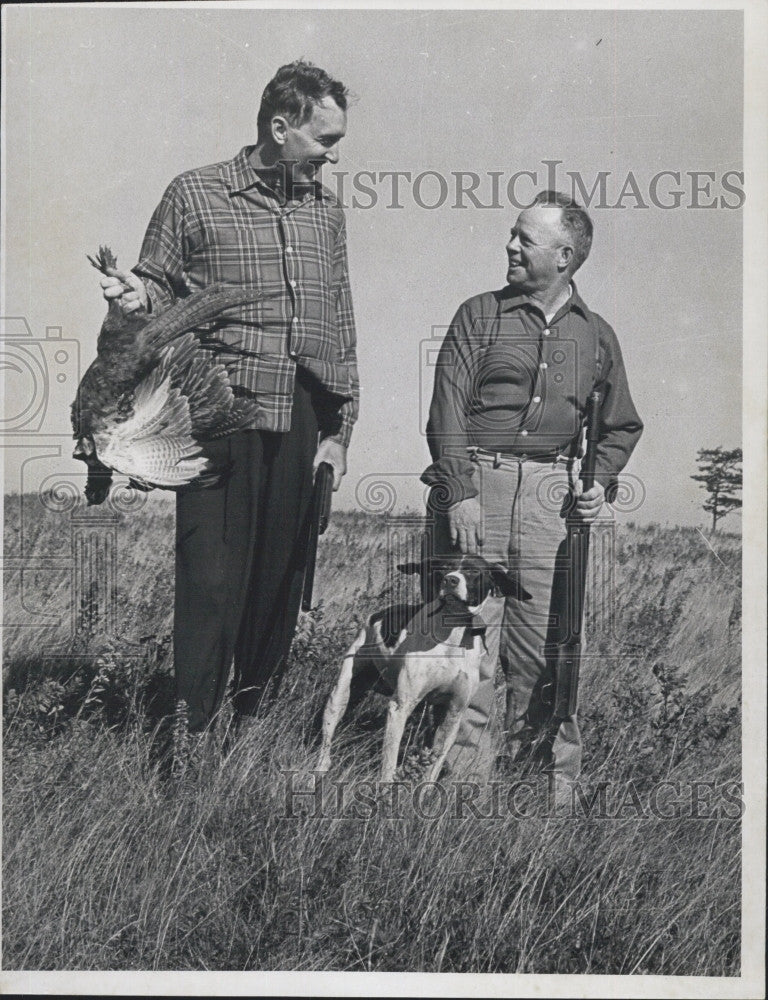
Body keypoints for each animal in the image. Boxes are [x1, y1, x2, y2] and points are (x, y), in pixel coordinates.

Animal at [316, 556, 532, 780]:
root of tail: (377, 615)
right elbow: (389, 764)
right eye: (443, 568)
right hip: (341, 695)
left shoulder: (452, 714)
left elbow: (433, 769)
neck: (451, 637)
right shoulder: (400, 707)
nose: (450, 580)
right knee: (327, 741)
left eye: (473, 571)